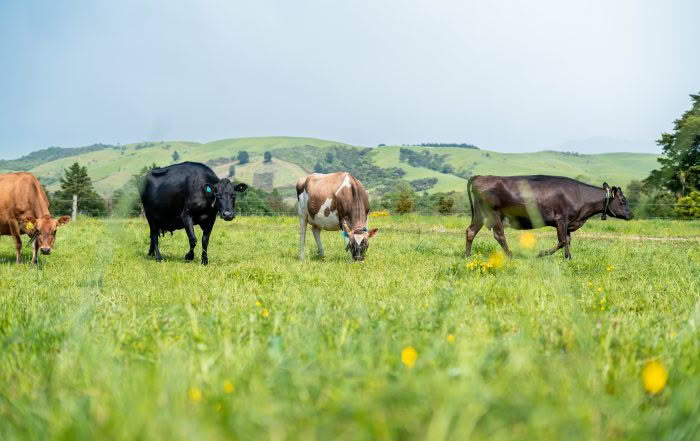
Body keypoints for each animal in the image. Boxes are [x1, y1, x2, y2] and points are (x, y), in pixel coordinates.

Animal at [466, 175, 632, 259]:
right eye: (623, 200)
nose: (631, 214)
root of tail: (481, 177)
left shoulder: (569, 223)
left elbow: (568, 241)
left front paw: (568, 258)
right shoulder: (560, 219)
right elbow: (562, 241)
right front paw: (541, 254)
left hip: (481, 214)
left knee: (471, 231)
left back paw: (467, 256)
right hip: (493, 213)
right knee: (499, 235)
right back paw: (511, 255)